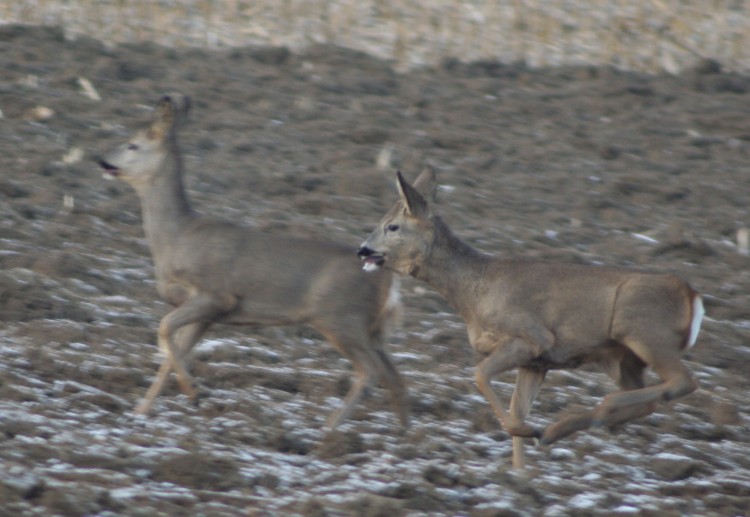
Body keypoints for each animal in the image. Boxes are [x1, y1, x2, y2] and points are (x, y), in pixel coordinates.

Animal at [97, 93, 412, 436]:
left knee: (369, 372)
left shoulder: (216, 294)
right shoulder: (208, 313)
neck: (177, 238)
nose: (101, 160)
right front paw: (142, 410)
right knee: (395, 376)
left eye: (132, 145)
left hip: (341, 317)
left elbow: (165, 330)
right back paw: (405, 436)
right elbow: (173, 352)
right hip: (372, 328)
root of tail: (387, 278)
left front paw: (194, 392)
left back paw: (329, 429)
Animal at [358, 169, 704, 468]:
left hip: (644, 332)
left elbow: (480, 374)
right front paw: (520, 474)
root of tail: (692, 295)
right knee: (648, 400)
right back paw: (559, 429)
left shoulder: (533, 335)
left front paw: (525, 434)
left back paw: (588, 414)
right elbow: (518, 407)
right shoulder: (536, 362)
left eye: (392, 226)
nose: (363, 250)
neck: (475, 292)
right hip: (625, 357)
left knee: (683, 381)